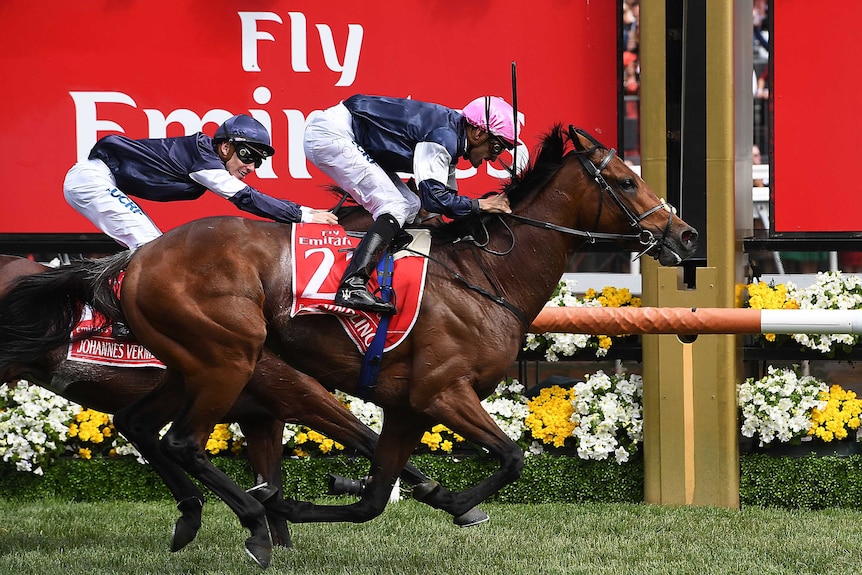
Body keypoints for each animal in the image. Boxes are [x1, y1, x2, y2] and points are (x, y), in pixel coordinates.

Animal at [0, 125, 704, 568]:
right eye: (624, 179)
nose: (686, 234)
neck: (485, 275)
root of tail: (133, 262)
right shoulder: (440, 391)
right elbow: (510, 458)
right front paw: (449, 502)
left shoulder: (405, 405)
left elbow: (371, 497)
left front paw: (322, 498)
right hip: (230, 359)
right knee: (181, 441)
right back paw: (248, 519)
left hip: (191, 366)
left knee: (144, 427)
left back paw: (200, 516)